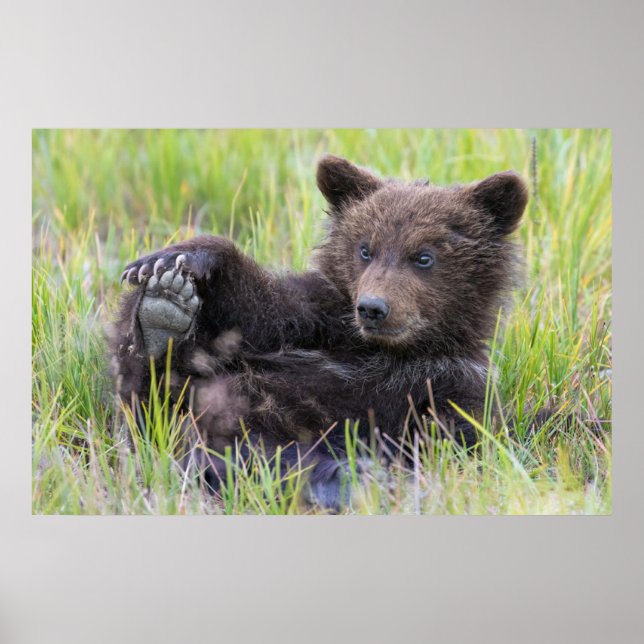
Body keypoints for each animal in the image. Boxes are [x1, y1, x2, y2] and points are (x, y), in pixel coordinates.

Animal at [111, 154, 528, 510]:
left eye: (424, 256)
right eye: (365, 249)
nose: (373, 308)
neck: (390, 350)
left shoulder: (451, 380)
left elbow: (452, 443)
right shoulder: (319, 322)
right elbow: (263, 310)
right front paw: (174, 260)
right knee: (151, 402)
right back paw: (161, 316)